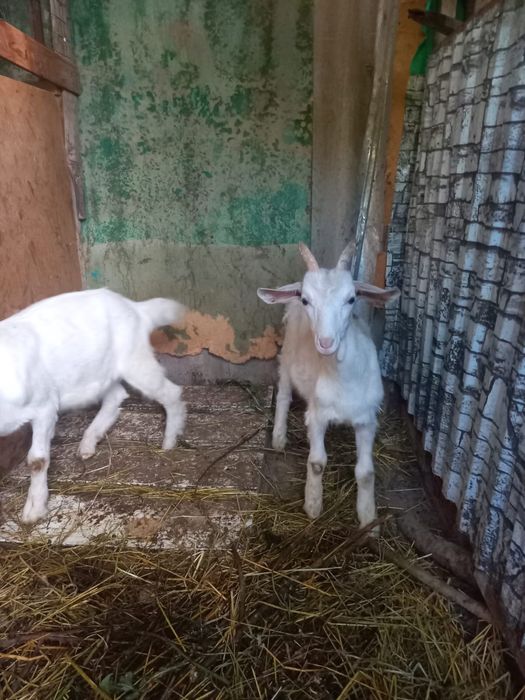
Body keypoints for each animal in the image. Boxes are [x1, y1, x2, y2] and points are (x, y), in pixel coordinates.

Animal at [0, 288, 187, 523]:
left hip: (136, 362)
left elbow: (37, 460)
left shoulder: (44, 405)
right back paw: (89, 442)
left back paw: (169, 442)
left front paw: (34, 510)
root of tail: (136, 308)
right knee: (116, 395)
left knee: (170, 392)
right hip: (100, 372)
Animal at [257, 243, 400, 533]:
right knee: (284, 395)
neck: (342, 377)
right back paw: (279, 437)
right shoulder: (317, 415)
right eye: (306, 300)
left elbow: (366, 473)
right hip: (287, 356)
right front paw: (313, 505)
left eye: (352, 299)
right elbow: (317, 463)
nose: (325, 342)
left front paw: (369, 519)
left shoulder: (367, 419)